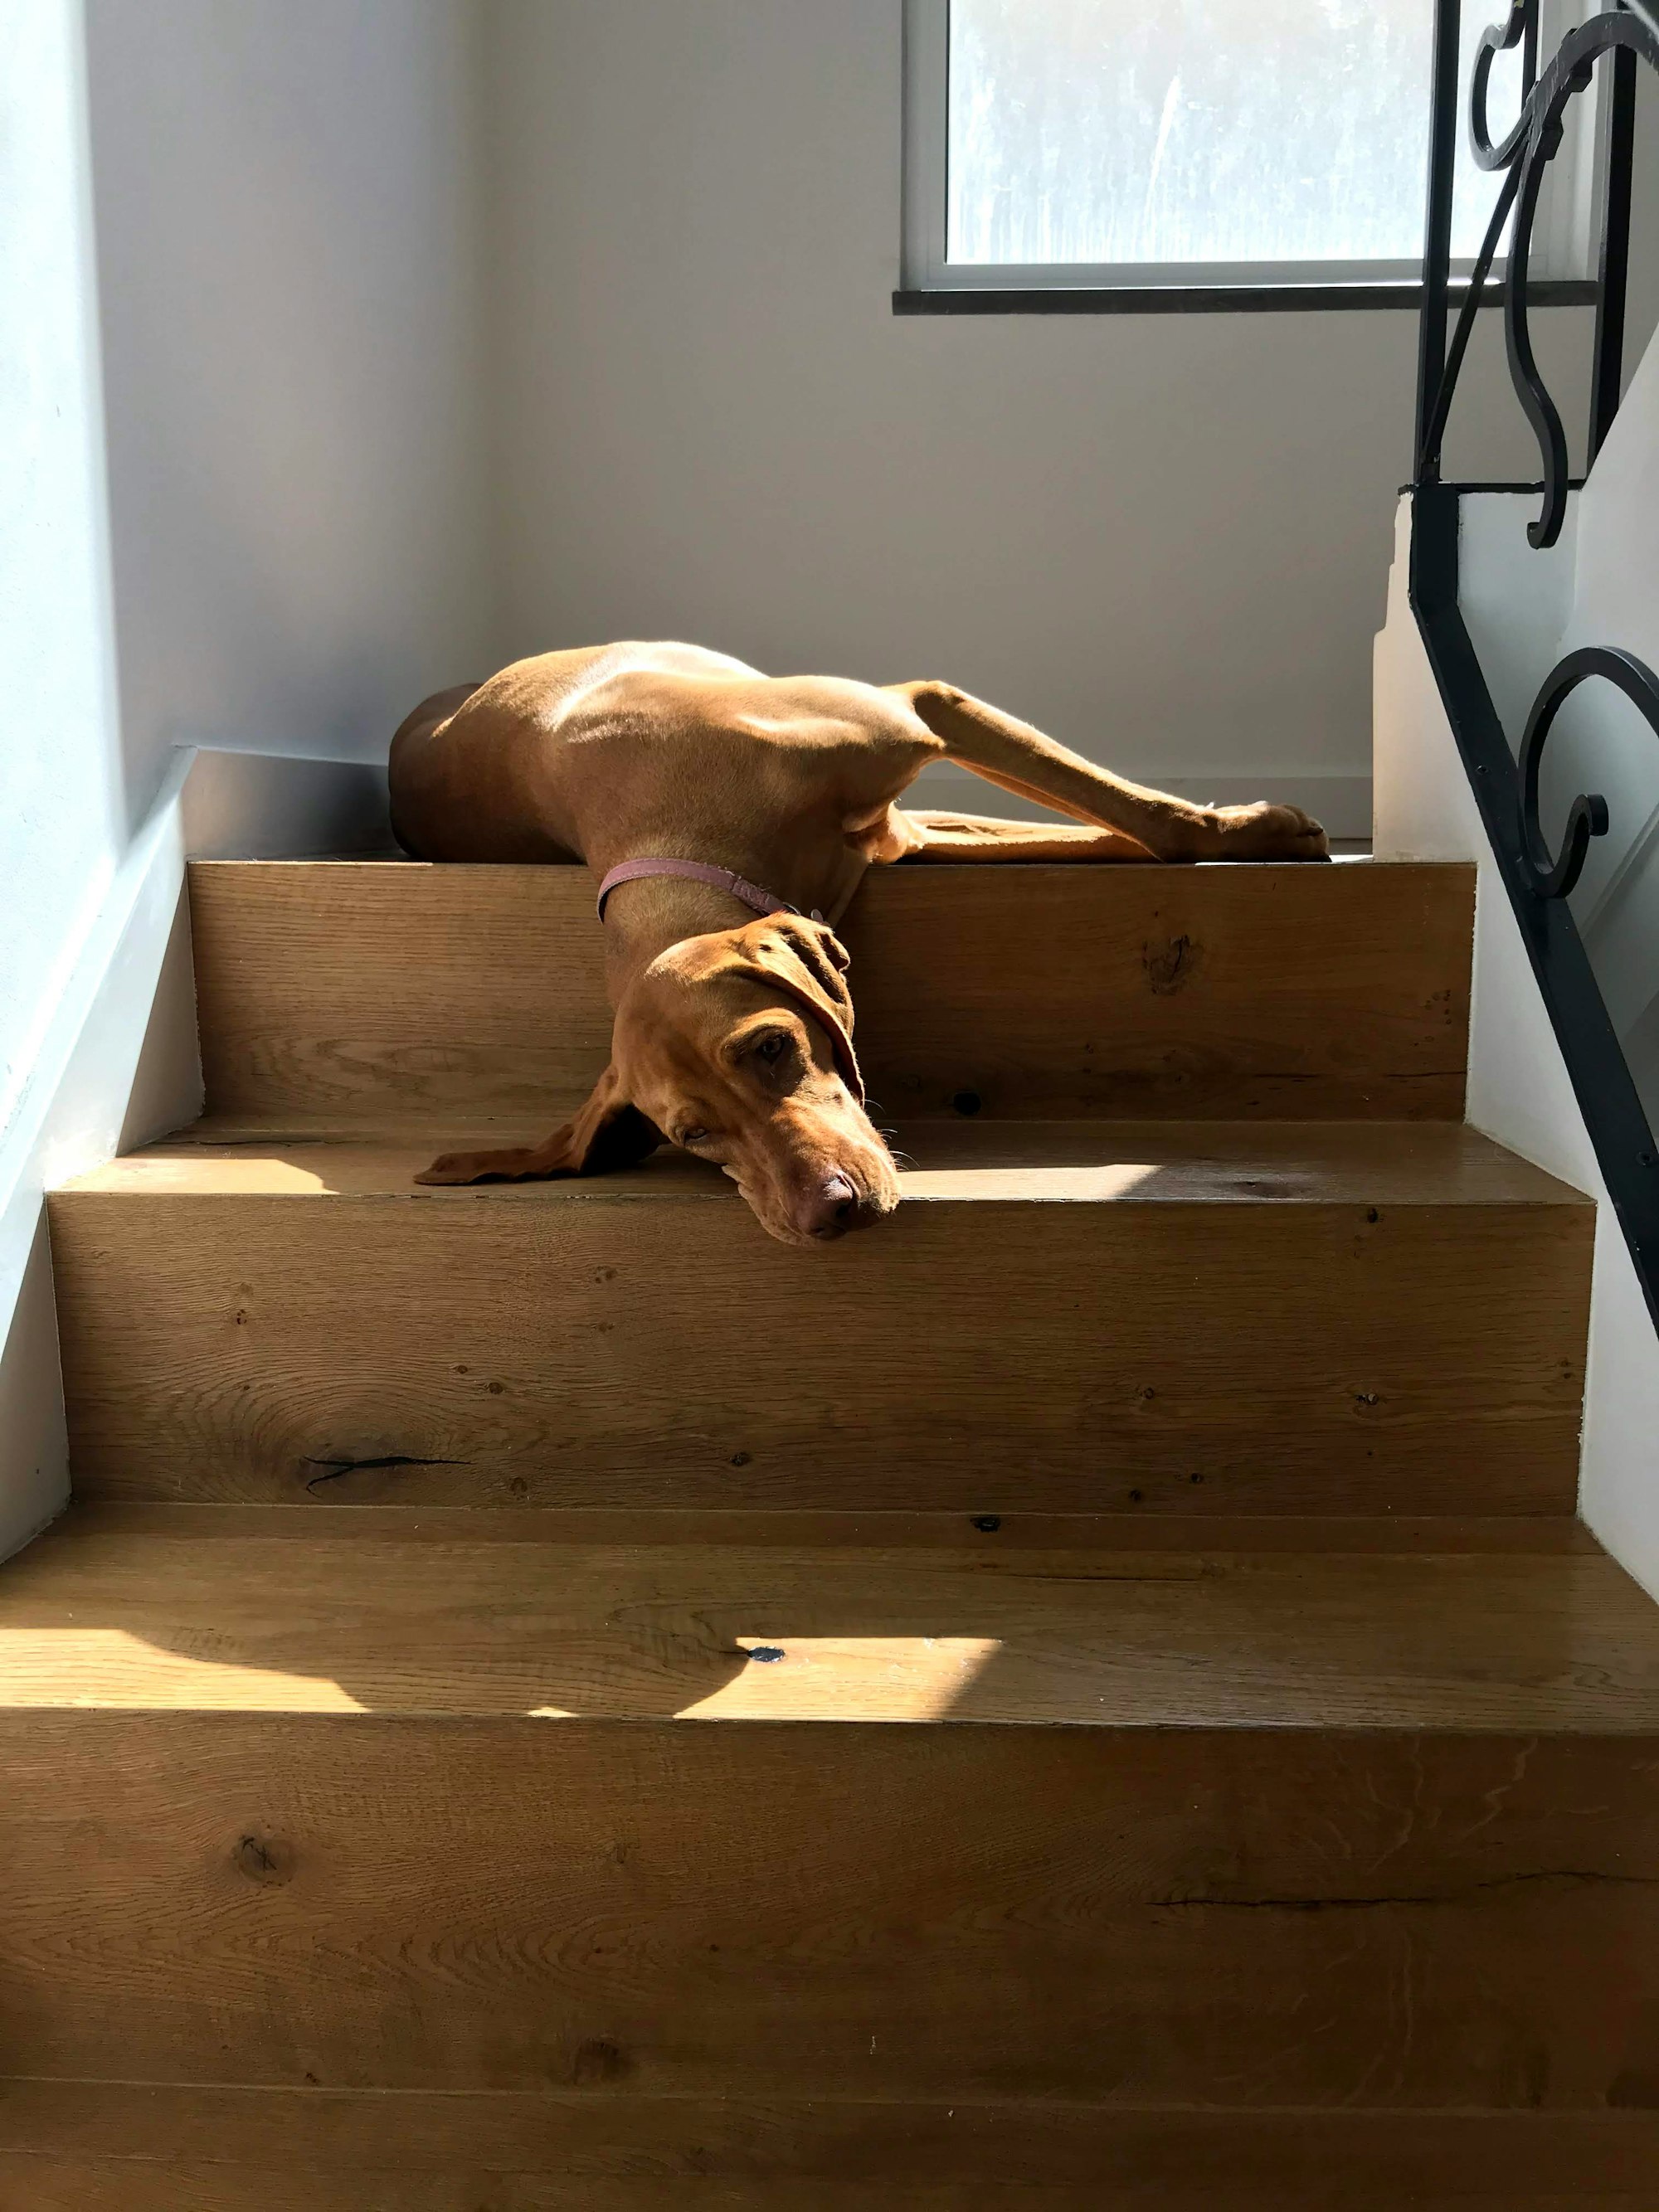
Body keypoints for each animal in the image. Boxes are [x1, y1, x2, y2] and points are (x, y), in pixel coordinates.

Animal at [387, 645, 1327, 1256]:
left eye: (773, 1046)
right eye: (693, 1134)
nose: (825, 1213)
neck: (674, 839)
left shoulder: (918, 709)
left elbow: (1137, 824)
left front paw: (1250, 830)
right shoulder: (903, 830)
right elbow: (1095, 830)